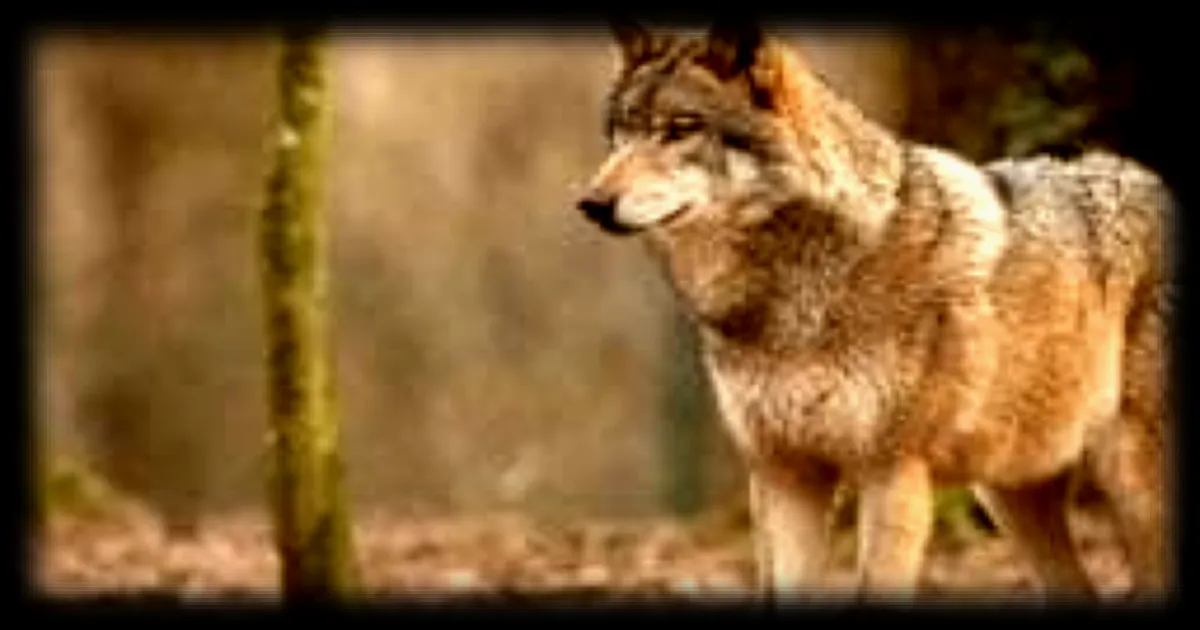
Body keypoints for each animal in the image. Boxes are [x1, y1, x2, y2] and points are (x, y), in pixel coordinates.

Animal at [574, 19, 1172, 603]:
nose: (592, 204)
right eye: (618, 135)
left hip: (1133, 488)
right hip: (1009, 494)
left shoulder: (892, 473)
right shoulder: (783, 474)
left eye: (680, 128)